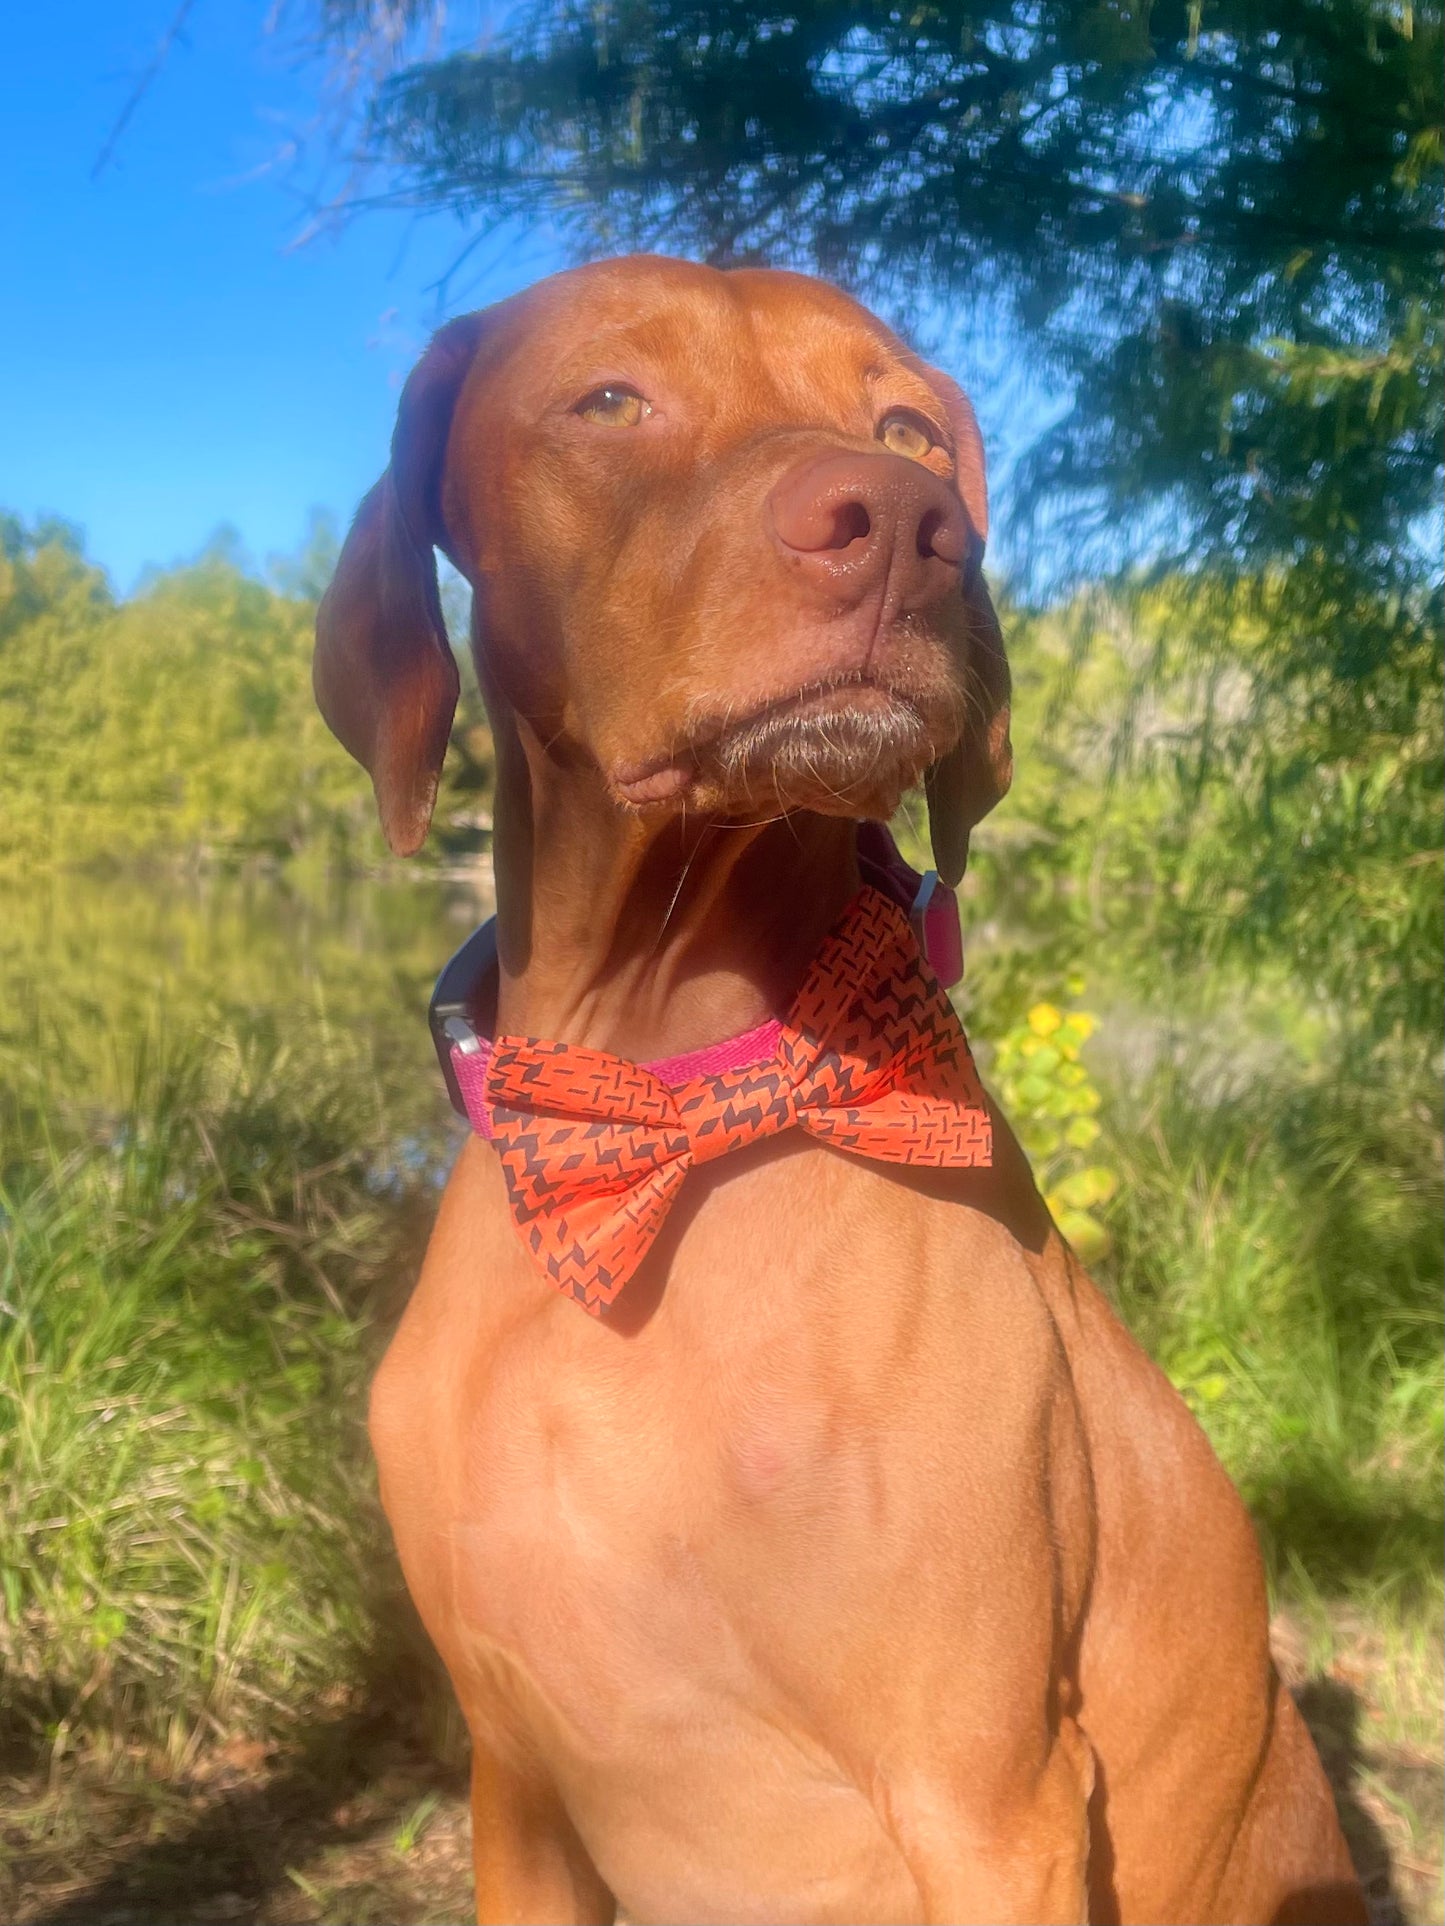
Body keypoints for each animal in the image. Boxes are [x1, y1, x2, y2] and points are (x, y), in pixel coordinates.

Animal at [315, 256, 1371, 1926]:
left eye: (908, 433)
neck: (658, 1088)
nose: (901, 522)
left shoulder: (988, 1800)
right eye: (609, 399)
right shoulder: (519, 1786)